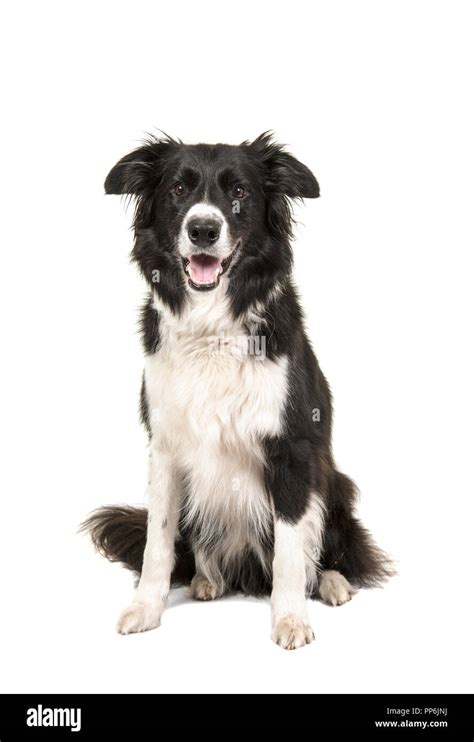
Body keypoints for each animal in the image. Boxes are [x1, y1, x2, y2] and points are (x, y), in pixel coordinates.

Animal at [82, 134, 392, 652]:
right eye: (178, 189)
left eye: (240, 192)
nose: (203, 229)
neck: (212, 329)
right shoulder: (164, 448)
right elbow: (157, 542)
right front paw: (146, 607)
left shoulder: (292, 450)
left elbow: (289, 551)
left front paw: (290, 619)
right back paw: (207, 579)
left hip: (334, 483)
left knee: (325, 552)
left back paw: (331, 583)